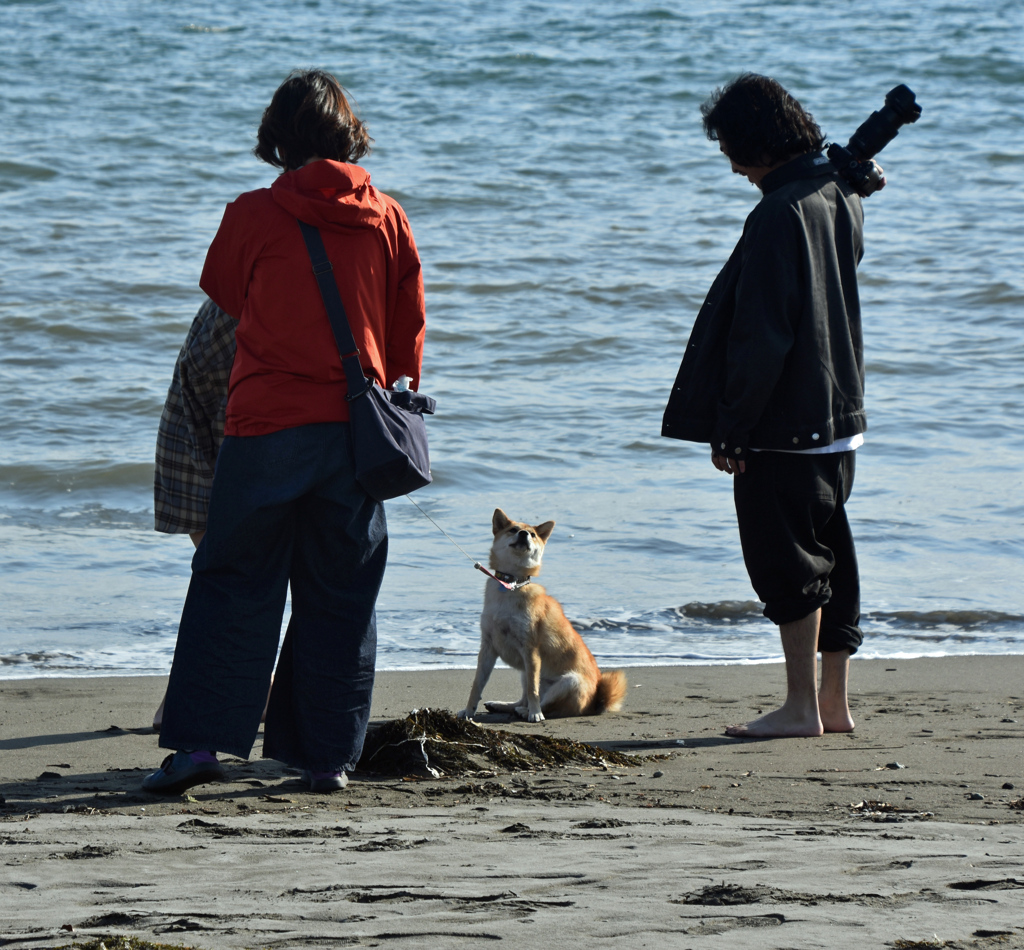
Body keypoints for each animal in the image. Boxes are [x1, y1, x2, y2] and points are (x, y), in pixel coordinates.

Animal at [460, 511, 626, 720]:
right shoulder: (488, 648)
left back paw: (528, 712)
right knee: (523, 699)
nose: (523, 534)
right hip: (525, 673)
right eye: (513, 530)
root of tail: (596, 702)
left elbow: (533, 690)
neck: (511, 585)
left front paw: (535, 714)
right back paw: (502, 705)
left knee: (544, 703)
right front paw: (468, 711)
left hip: (569, 681)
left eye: (532, 534)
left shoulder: (530, 650)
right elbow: (476, 686)